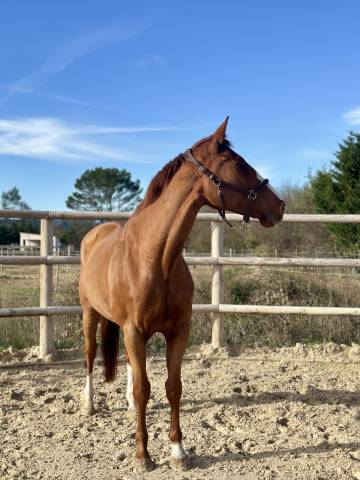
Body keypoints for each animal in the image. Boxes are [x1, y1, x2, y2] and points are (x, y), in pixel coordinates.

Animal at [79, 118, 284, 470]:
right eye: (240, 164)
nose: (280, 206)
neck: (154, 259)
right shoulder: (134, 331)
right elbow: (145, 389)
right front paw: (143, 456)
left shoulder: (178, 331)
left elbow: (172, 387)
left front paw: (178, 451)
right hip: (90, 313)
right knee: (91, 355)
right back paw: (89, 404)